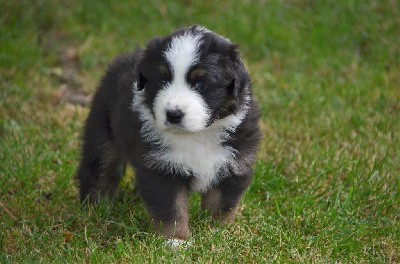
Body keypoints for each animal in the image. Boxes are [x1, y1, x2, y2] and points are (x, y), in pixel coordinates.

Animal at [76, 25, 262, 242]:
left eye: (200, 84)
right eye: (163, 79)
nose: (173, 114)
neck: (197, 135)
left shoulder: (233, 165)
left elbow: (221, 205)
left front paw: (218, 234)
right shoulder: (162, 167)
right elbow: (172, 208)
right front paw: (176, 240)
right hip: (103, 132)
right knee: (100, 172)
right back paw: (95, 211)